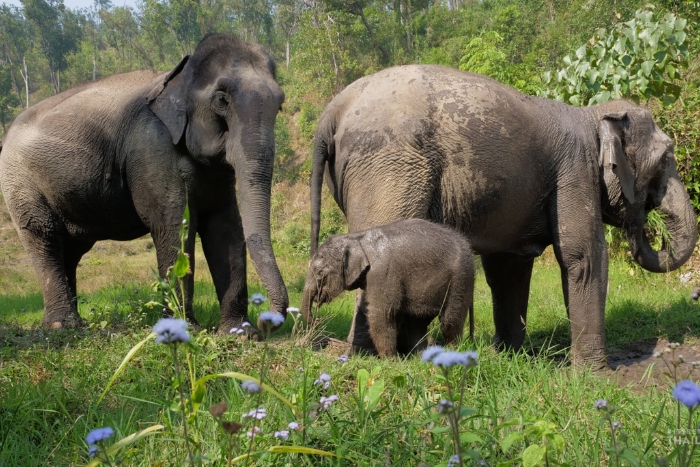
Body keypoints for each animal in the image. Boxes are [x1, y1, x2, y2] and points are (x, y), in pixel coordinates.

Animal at [0, 33, 288, 332]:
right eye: (222, 99)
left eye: (280, 104)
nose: (267, 321)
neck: (178, 76)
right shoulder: (152, 149)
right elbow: (174, 224)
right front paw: (186, 329)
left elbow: (225, 225)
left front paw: (239, 333)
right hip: (19, 182)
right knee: (43, 236)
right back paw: (62, 326)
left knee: (72, 249)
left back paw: (77, 323)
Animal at [300, 219, 476, 358]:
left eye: (320, 274)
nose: (318, 320)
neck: (357, 238)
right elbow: (366, 309)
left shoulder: (383, 273)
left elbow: (381, 313)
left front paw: (390, 360)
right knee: (417, 322)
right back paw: (420, 357)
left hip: (461, 279)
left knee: (449, 321)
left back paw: (452, 353)